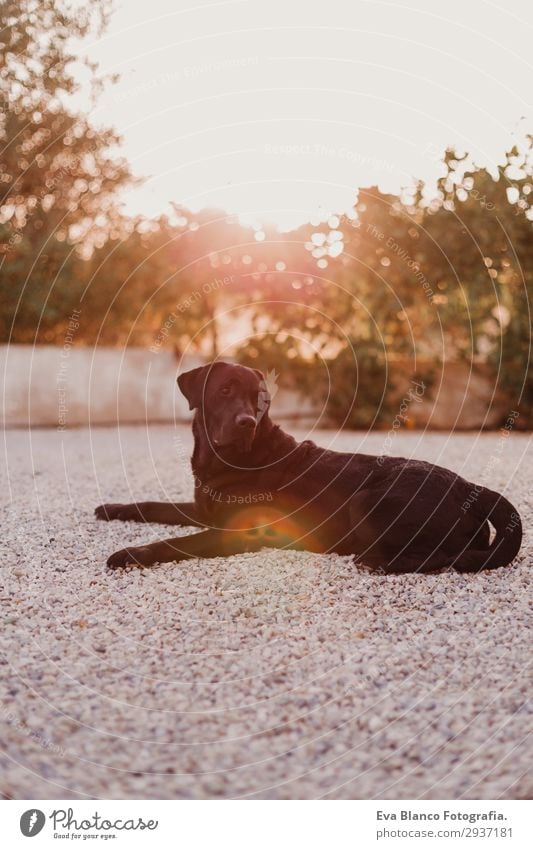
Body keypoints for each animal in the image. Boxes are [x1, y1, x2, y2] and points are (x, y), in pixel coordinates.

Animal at [94, 362, 520, 572]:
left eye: (259, 399)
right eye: (225, 391)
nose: (246, 422)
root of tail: (471, 488)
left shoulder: (234, 533)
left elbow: (174, 542)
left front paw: (131, 553)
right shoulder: (204, 510)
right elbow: (153, 505)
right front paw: (113, 508)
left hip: (366, 502)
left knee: (445, 558)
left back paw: (376, 563)